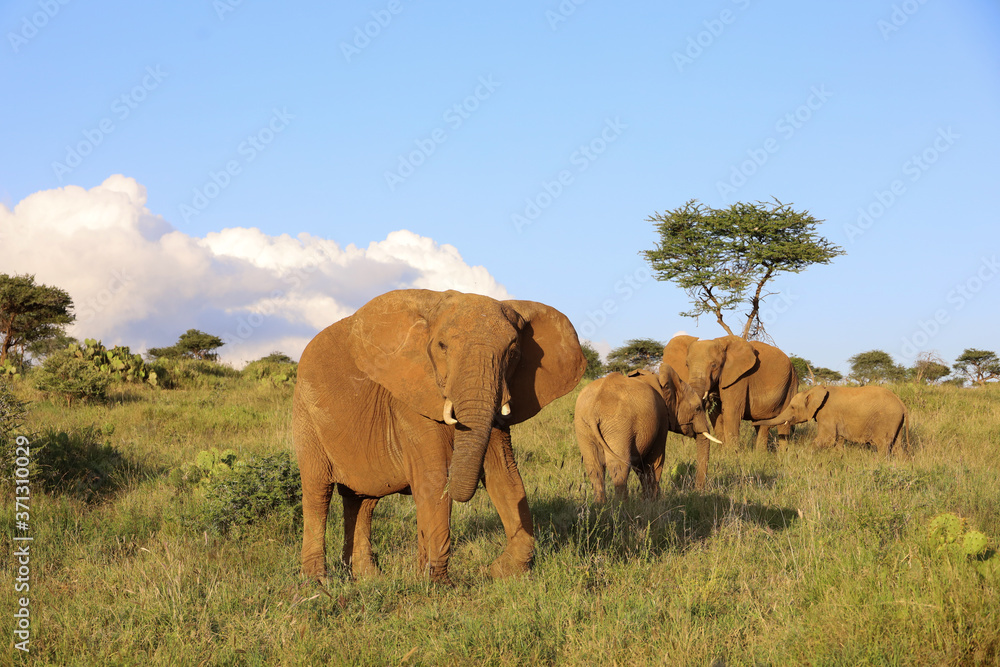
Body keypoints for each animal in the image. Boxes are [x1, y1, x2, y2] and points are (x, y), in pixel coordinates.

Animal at [292, 288, 584, 584]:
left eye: (513, 351)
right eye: (442, 346)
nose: (483, 571)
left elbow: (505, 475)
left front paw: (501, 572)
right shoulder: (410, 397)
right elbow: (433, 480)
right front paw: (437, 584)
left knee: (362, 499)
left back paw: (369, 578)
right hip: (306, 415)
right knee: (318, 493)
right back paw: (316, 582)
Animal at [576, 362, 724, 498]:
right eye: (698, 408)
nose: (697, 491)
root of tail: (594, 408)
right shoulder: (661, 418)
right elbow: (654, 461)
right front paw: (653, 501)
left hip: (584, 427)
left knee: (594, 467)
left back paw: (601, 506)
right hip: (618, 425)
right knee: (619, 466)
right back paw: (621, 506)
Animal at [664, 336, 796, 452]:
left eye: (714, 365)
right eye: (687, 365)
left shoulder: (740, 378)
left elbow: (731, 411)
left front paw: (732, 455)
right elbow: (715, 414)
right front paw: (723, 453)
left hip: (791, 383)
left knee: (783, 423)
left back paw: (782, 455)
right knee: (761, 422)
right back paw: (761, 455)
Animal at [752, 384, 912, 456]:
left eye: (792, 407)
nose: (753, 421)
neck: (815, 390)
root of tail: (902, 405)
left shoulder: (827, 414)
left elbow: (826, 439)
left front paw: (803, 455)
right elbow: (838, 441)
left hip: (887, 419)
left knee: (883, 446)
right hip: (896, 422)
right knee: (897, 447)